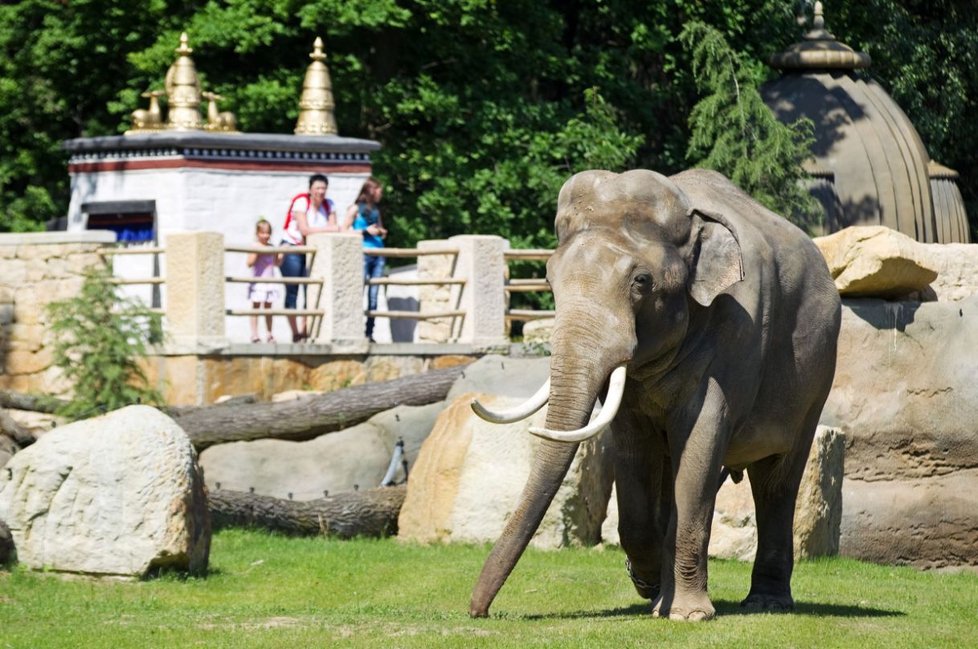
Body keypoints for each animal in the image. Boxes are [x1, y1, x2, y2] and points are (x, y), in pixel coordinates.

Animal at [470, 166, 840, 616]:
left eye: (642, 282)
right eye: (548, 279)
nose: (478, 611)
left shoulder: (738, 330)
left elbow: (700, 442)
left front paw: (687, 614)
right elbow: (632, 449)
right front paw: (648, 585)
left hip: (816, 378)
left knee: (776, 478)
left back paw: (765, 603)